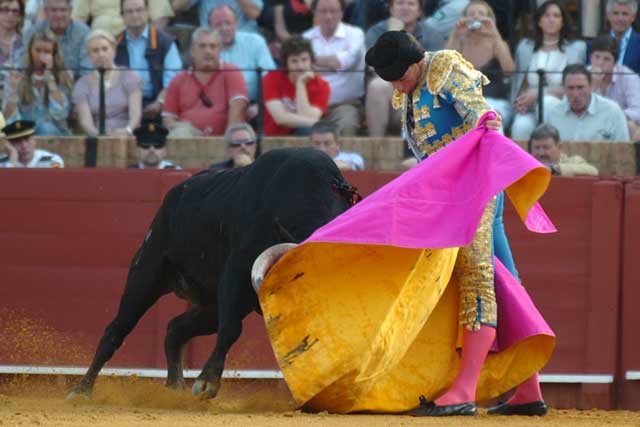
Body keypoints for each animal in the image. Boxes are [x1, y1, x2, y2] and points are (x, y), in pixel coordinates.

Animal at [70, 148, 360, 402]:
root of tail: (175, 193)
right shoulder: (235, 273)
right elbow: (231, 329)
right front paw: (207, 383)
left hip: (210, 305)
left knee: (175, 328)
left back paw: (174, 387)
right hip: (146, 275)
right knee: (117, 329)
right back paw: (82, 391)